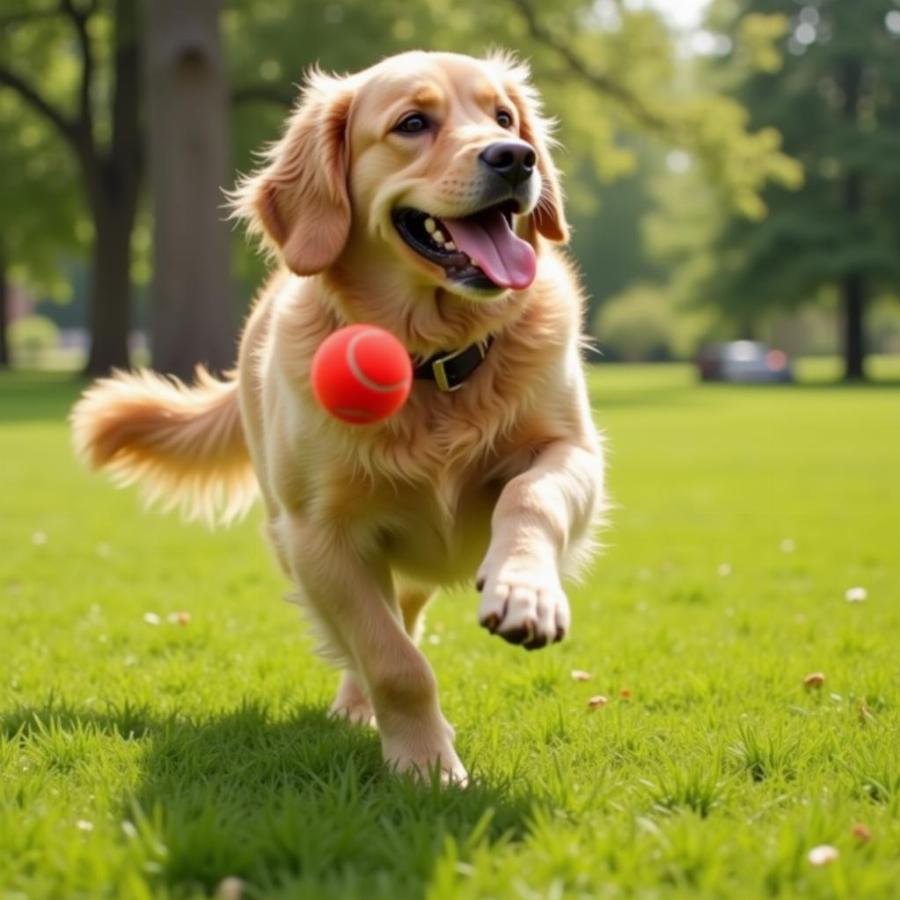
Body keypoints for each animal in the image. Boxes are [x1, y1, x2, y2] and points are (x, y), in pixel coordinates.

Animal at [72, 52, 604, 780]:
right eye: (413, 124)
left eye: (503, 117)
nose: (515, 158)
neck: (432, 361)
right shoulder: (319, 536)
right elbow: (393, 661)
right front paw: (427, 766)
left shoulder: (573, 451)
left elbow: (530, 497)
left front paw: (525, 592)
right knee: (381, 634)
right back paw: (360, 707)